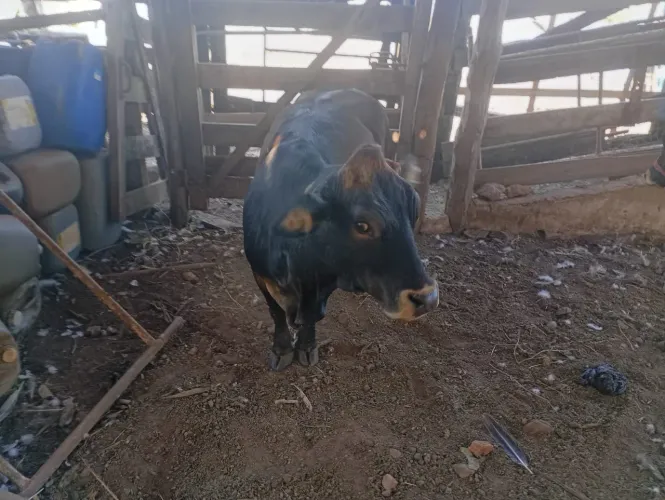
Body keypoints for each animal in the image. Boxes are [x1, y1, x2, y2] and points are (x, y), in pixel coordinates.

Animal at [242, 89, 439, 371]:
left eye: (413, 213)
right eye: (362, 225)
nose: (428, 298)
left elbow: (311, 318)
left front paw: (306, 345)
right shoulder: (259, 272)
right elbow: (276, 311)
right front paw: (281, 348)